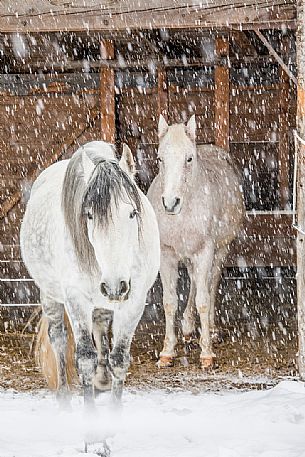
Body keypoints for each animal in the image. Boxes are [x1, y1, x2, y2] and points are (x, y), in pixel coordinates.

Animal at [146, 116, 243, 368]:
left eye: (189, 158)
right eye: (160, 158)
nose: (170, 203)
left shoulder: (205, 251)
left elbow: (204, 299)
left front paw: (207, 353)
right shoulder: (167, 254)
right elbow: (170, 301)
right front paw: (167, 352)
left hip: (220, 250)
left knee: (211, 282)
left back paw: (212, 330)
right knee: (193, 281)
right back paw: (189, 328)